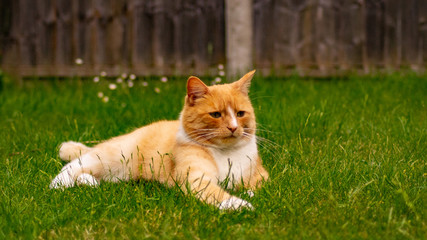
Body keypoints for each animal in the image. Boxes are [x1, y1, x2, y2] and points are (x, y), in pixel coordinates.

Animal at [50, 70, 270, 210]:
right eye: (215, 115)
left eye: (240, 113)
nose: (233, 127)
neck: (227, 154)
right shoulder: (196, 179)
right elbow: (216, 193)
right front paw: (239, 204)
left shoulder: (261, 177)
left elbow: (256, 188)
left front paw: (247, 195)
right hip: (111, 158)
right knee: (73, 165)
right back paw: (58, 185)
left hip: (117, 174)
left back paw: (88, 182)